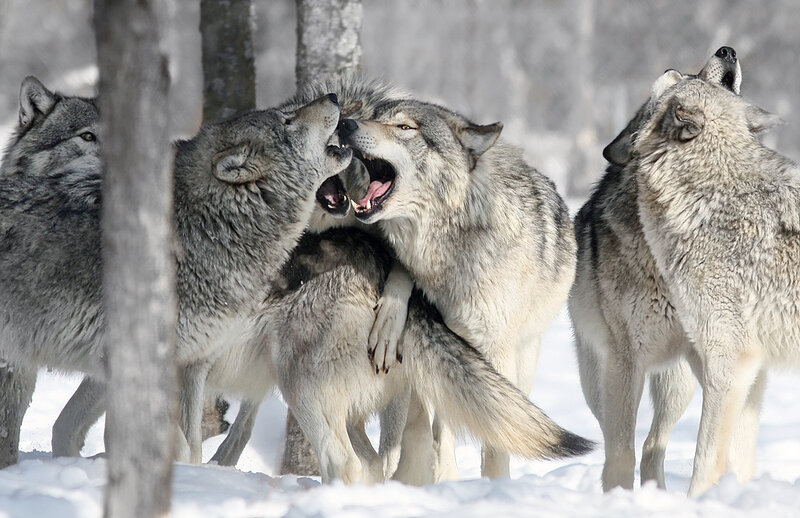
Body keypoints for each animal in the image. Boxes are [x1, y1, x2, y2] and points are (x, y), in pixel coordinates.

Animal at [0, 75, 350, 465]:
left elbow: (192, 445)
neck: (204, 223)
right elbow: (177, 445)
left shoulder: (193, 365)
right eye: (287, 121)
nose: (333, 96)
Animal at [337, 94, 577, 481]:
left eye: (405, 127)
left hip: (520, 363)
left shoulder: (494, 348)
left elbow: (496, 441)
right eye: (374, 117)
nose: (345, 123)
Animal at [568, 47, 744, 492]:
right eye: (677, 79)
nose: (727, 50)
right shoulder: (625, 361)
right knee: (620, 438)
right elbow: (619, 451)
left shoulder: (712, 352)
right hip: (597, 379)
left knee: (654, 443)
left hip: (677, 381)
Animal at [634, 75, 788, 495]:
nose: (673, 70)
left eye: (675, 88)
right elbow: (738, 456)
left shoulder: (729, 359)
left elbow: (706, 458)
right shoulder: (748, 366)